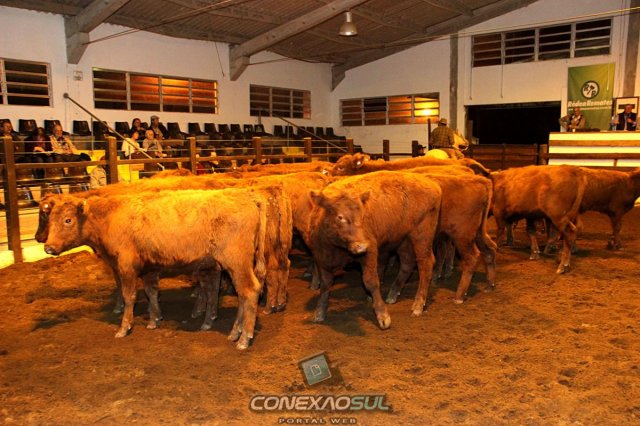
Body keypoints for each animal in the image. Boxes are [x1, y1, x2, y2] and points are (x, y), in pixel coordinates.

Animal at [40, 188, 272, 350]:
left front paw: (124, 327)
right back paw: (234, 332)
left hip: (237, 263)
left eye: (68, 220)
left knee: (249, 291)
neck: (111, 216)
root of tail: (248, 195)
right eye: (50, 219)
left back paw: (243, 338)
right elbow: (151, 292)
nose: (48, 247)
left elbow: (129, 296)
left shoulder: (126, 267)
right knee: (243, 295)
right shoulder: (149, 268)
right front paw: (154, 320)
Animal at [308, 171, 442, 327]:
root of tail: (433, 184)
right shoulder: (320, 258)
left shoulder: (370, 251)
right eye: (339, 217)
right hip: (403, 239)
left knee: (425, 264)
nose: (361, 246)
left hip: (422, 237)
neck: (336, 248)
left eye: (363, 216)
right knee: (407, 263)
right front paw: (319, 312)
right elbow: (325, 284)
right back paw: (392, 294)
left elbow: (371, 281)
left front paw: (382, 315)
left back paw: (417, 306)